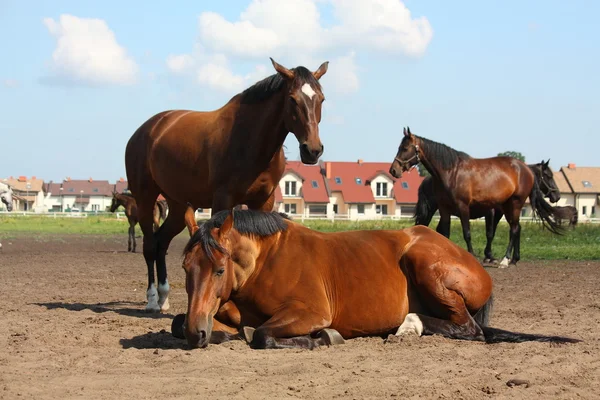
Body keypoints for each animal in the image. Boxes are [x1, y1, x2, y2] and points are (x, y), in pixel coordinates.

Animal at [123, 57, 328, 312]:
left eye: (321, 98)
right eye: (292, 99)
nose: (312, 150)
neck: (250, 139)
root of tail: (145, 130)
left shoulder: (264, 199)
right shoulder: (223, 198)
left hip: (178, 206)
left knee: (162, 242)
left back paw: (164, 297)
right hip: (145, 198)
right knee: (150, 245)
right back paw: (152, 299)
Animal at [170, 209, 580, 350]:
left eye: (219, 269)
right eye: (186, 268)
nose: (197, 333)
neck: (264, 262)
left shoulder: (310, 311)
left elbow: (263, 335)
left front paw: (322, 338)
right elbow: (178, 323)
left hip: (423, 263)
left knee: (469, 330)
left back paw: (408, 327)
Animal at [414, 159, 560, 262]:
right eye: (548, 175)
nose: (557, 195)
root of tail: (428, 179)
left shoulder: (501, 213)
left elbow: (509, 230)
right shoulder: (492, 212)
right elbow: (491, 233)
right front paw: (489, 256)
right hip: (432, 211)